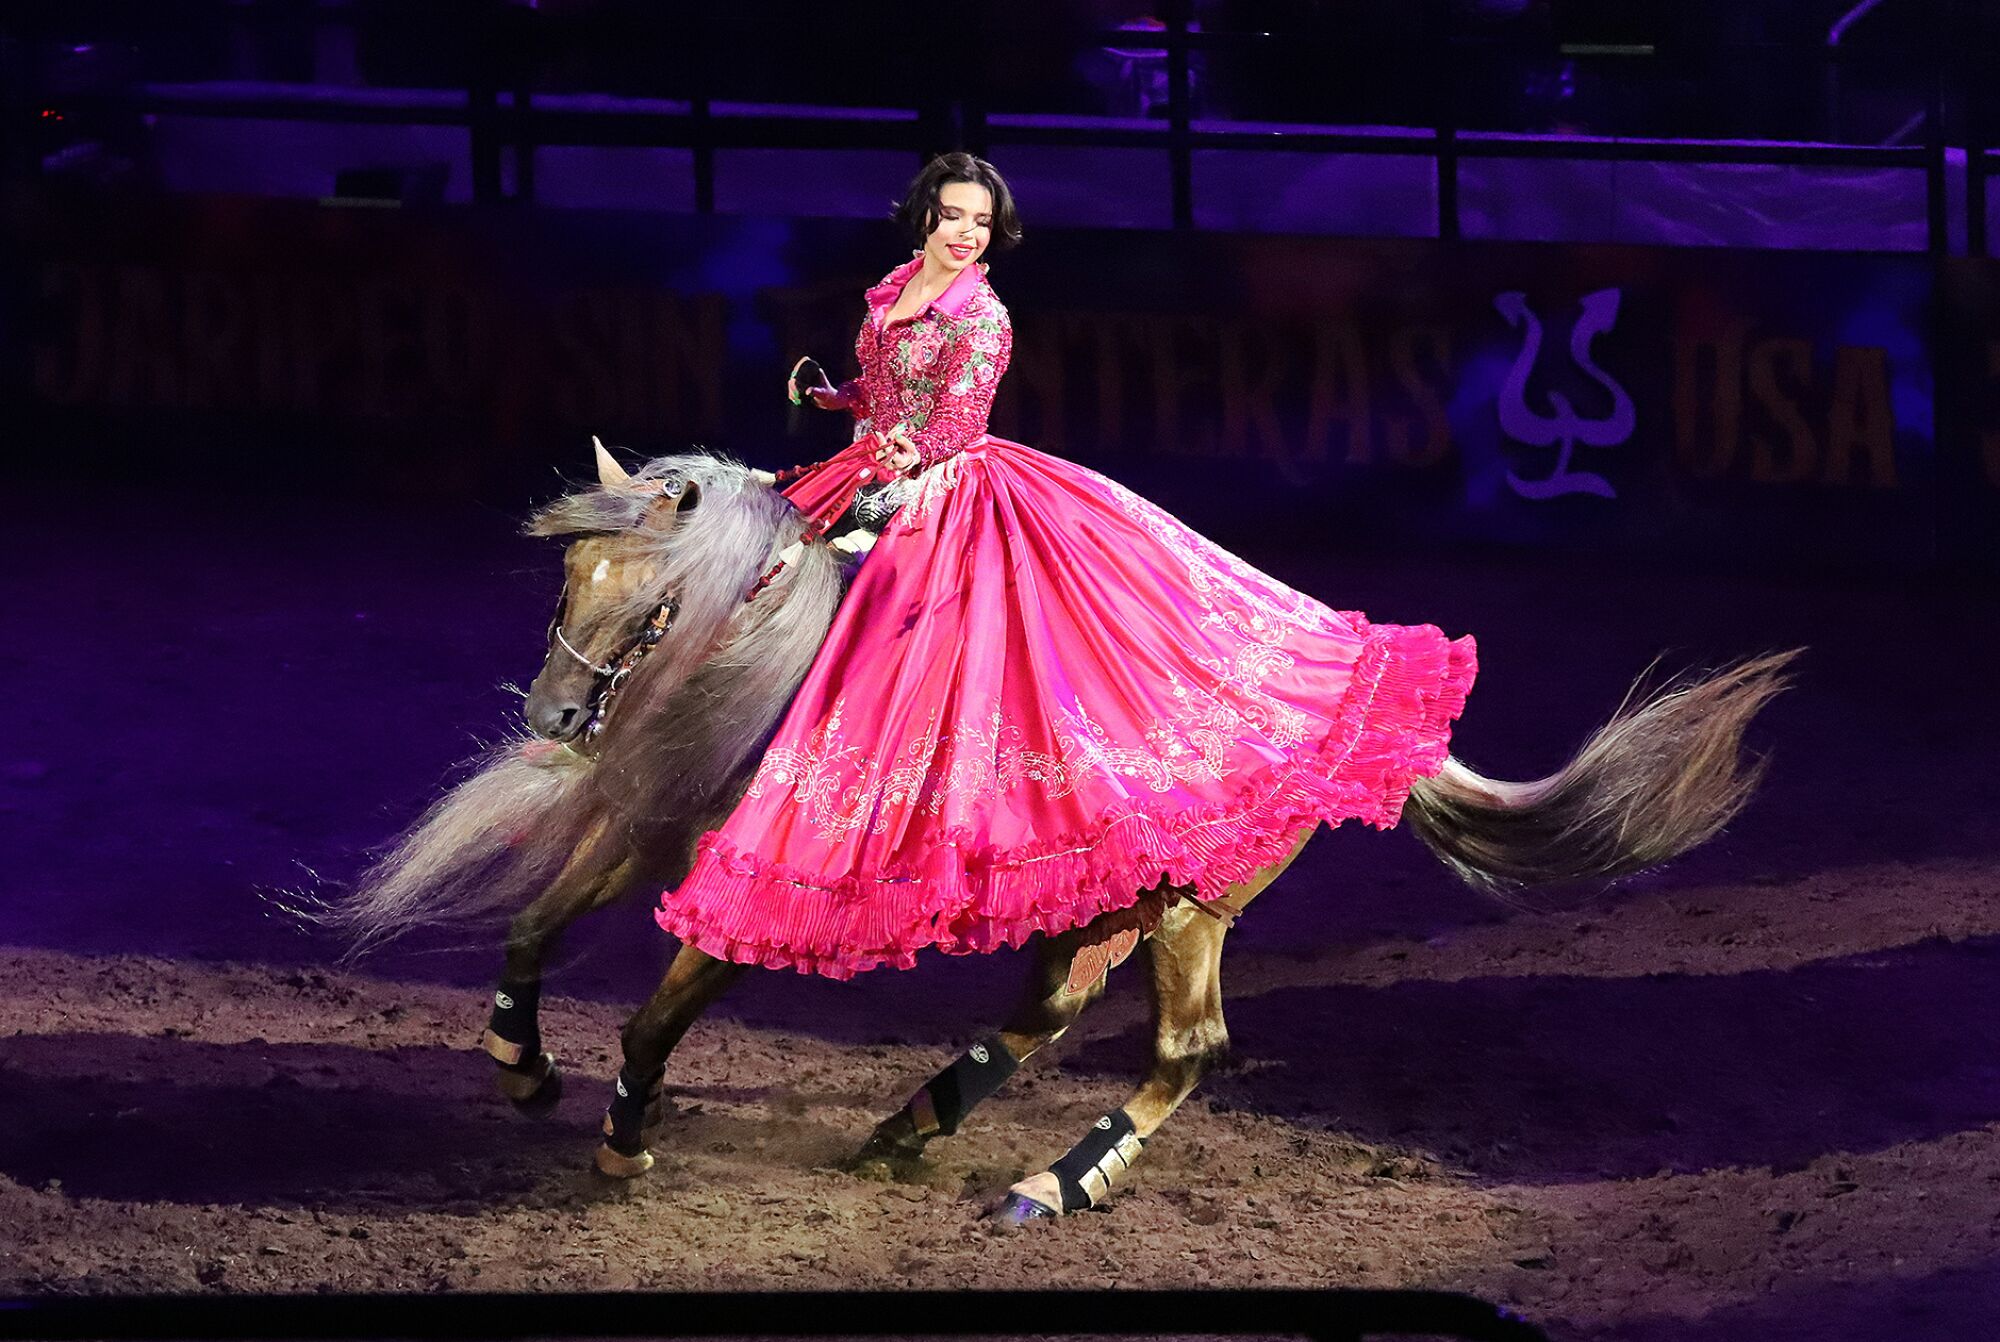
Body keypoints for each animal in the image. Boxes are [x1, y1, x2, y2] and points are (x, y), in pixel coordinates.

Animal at [328, 446, 1800, 1224]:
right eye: (566, 578)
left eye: (652, 602)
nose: (556, 716)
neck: (771, 672)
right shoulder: (651, 836)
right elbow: (533, 933)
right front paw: (521, 1066)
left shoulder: (750, 905)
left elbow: (648, 1020)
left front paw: (624, 1140)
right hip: (1106, 901)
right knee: (1043, 1009)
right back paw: (908, 1129)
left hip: (1192, 909)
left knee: (1181, 1049)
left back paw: (1049, 1182)